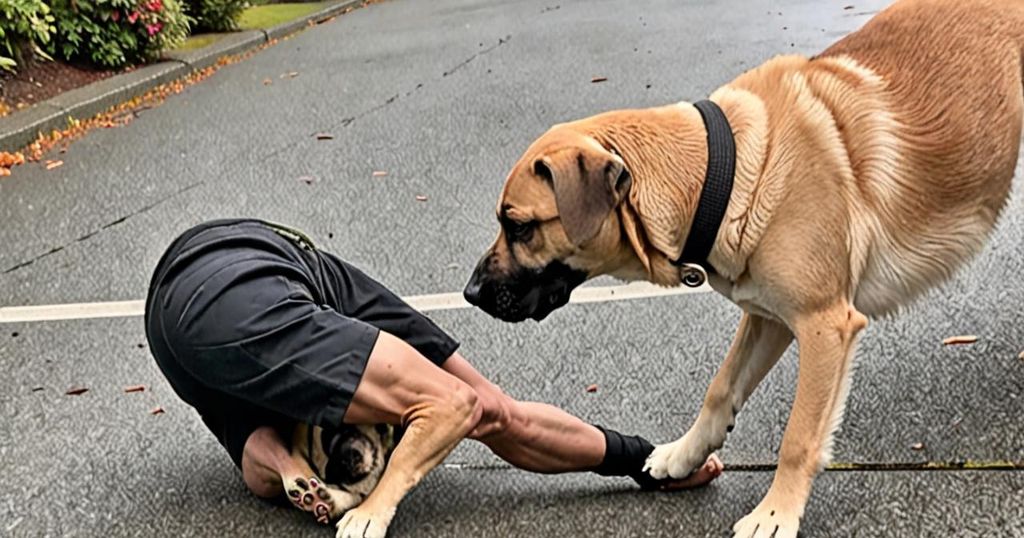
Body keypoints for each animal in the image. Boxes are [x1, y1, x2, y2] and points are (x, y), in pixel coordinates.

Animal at [464, 2, 1024, 532]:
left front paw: (777, 513)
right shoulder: (769, 318)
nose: (470, 293)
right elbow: (720, 390)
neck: (722, 172)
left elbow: (798, 436)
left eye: (518, 226)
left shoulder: (825, 326)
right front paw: (681, 455)